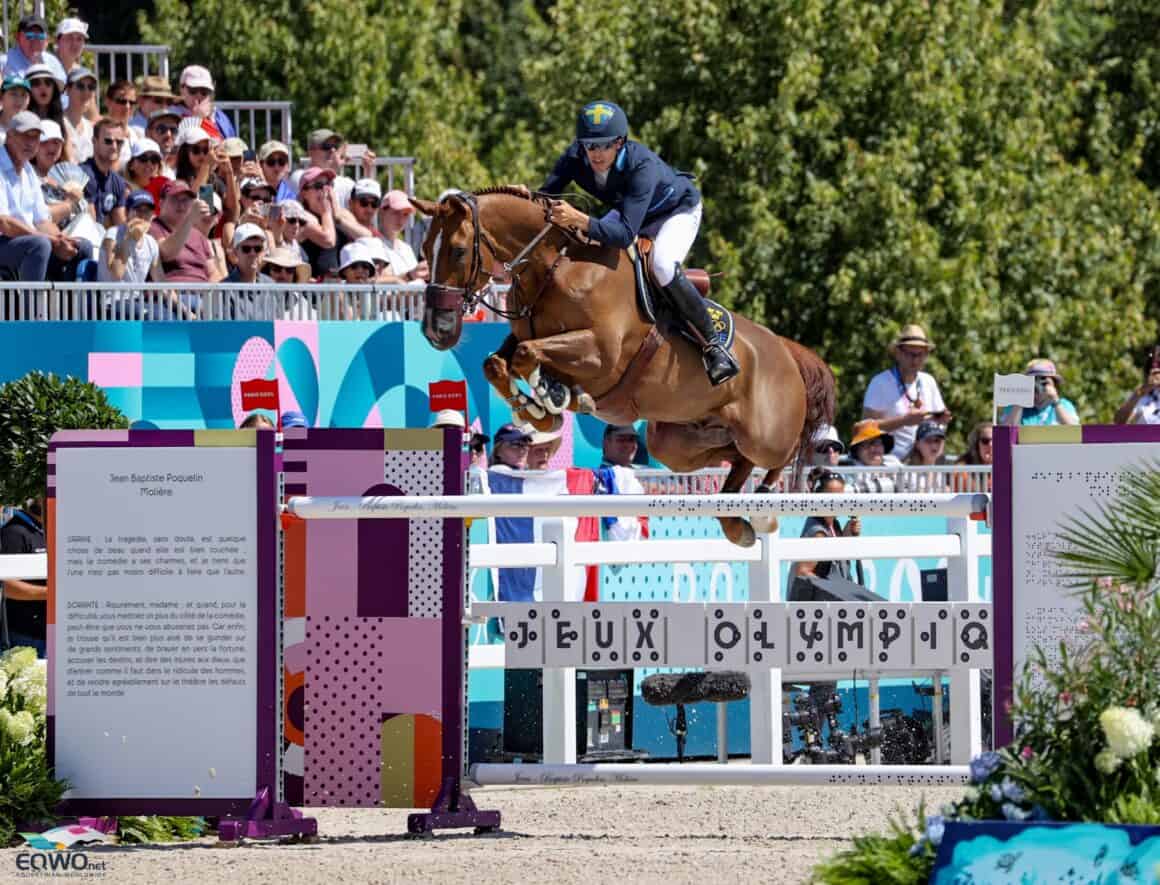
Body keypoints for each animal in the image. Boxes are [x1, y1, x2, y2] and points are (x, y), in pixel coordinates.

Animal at [415, 189, 835, 547]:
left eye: (456, 251)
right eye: (423, 250)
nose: (436, 330)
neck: (554, 267)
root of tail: (785, 349)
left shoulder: (602, 353)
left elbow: (526, 355)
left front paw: (553, 397)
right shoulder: (525, 337)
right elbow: (497, 362)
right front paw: (541, 410)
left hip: (764, 435)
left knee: (781, 453)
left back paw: (762, 508)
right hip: (674, 442)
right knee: (729, 454)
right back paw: (735, 519)